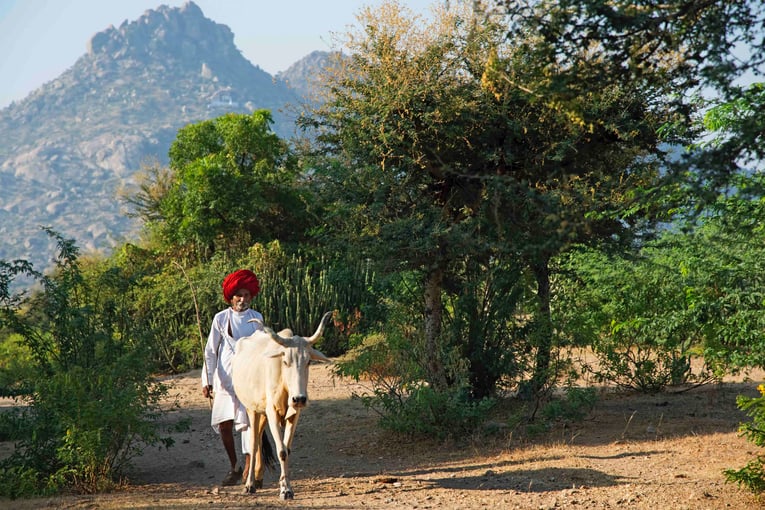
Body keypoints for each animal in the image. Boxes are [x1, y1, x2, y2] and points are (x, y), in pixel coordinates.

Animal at [230, 310, 332, 498]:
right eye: (286, 361)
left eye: (308, 361)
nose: (299, 399)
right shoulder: (272, 413)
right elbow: (281, 451)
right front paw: (285, 490)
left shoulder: (294, 414)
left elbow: (287, 449)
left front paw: (286, 487)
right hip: (251, 409)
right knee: (253, 442)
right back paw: (250, 484)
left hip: (262, 413)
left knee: (259, 440)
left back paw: (258, 478)